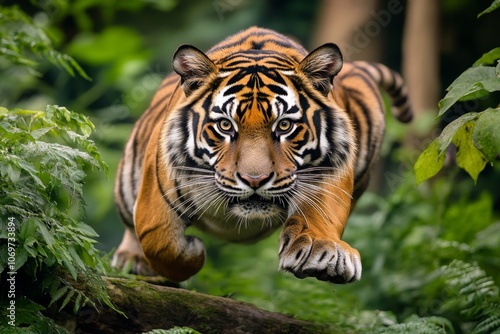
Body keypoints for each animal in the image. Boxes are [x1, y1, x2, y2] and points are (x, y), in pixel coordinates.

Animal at [112, 26, 410, 284]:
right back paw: (131, 260)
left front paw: (323, 252)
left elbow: (322, 213)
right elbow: (161, 244)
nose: (254, 180)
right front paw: (193, 251)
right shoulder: (155, 197)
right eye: (225, 125)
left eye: (284, 125)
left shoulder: (330, 169)